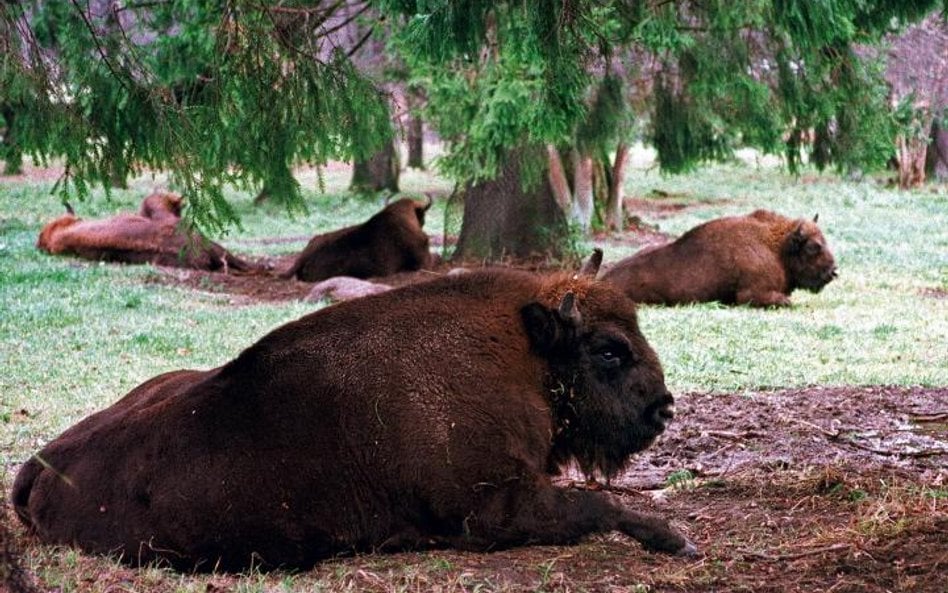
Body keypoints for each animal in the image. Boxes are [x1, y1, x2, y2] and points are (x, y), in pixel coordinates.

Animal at [11, 252, 696, 572]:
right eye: (609, 350)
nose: (663, 410)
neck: (527, 352)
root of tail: (41, 462)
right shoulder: (494, 509)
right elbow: (598, 507)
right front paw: (677, 541)